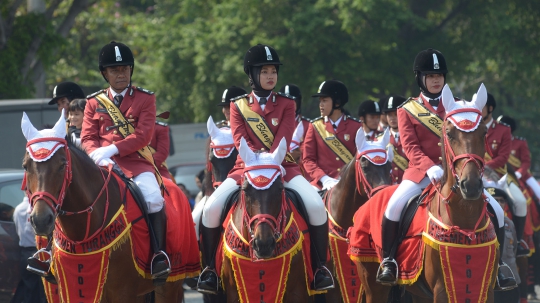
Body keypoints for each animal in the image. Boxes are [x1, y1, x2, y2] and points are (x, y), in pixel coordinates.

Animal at [21, 113, 192, 302]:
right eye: (25, 166)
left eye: (62, 164)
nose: (41, 220)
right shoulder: (71, 288)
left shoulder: (123, 292)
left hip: (169, 286)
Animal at [354, 83, 498, 303]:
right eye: (449, 133)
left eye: (483, 132)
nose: (471, 185)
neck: (465, 221)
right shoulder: (441, 289)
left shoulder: (485, 289)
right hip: (373, 284)